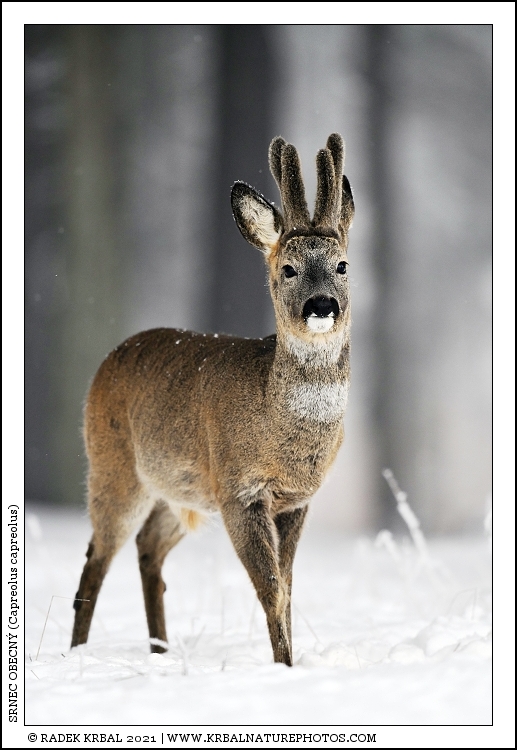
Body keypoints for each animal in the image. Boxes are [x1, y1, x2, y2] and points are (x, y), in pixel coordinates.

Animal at [71, 133, 354, 667]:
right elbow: (271, 589)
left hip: (180, 489)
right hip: (113, 465)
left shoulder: (295, 501)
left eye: (343, 264)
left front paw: (291, 663)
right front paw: (284, 666)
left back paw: (160, 650)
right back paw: (76, 656)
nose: (322, 304)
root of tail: (108, 360)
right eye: (288, 268)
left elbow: (288, 586)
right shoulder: (237, 489)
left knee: (147, 547)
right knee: (96, 559)